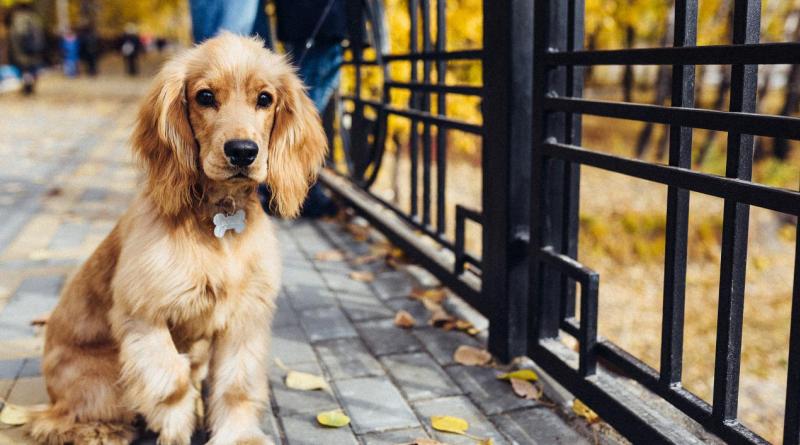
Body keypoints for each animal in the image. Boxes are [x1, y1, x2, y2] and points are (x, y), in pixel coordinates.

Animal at [29, 33, 326, 442]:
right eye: (205, 96)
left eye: (265, 99)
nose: (242, 152)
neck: (219, 217)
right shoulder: (144, 314)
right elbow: (172, 381)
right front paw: (175, 429)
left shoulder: (244, 317)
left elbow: (234, 387)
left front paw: (237, 434)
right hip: (102, 382)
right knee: (59, 419)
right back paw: (102, 429)